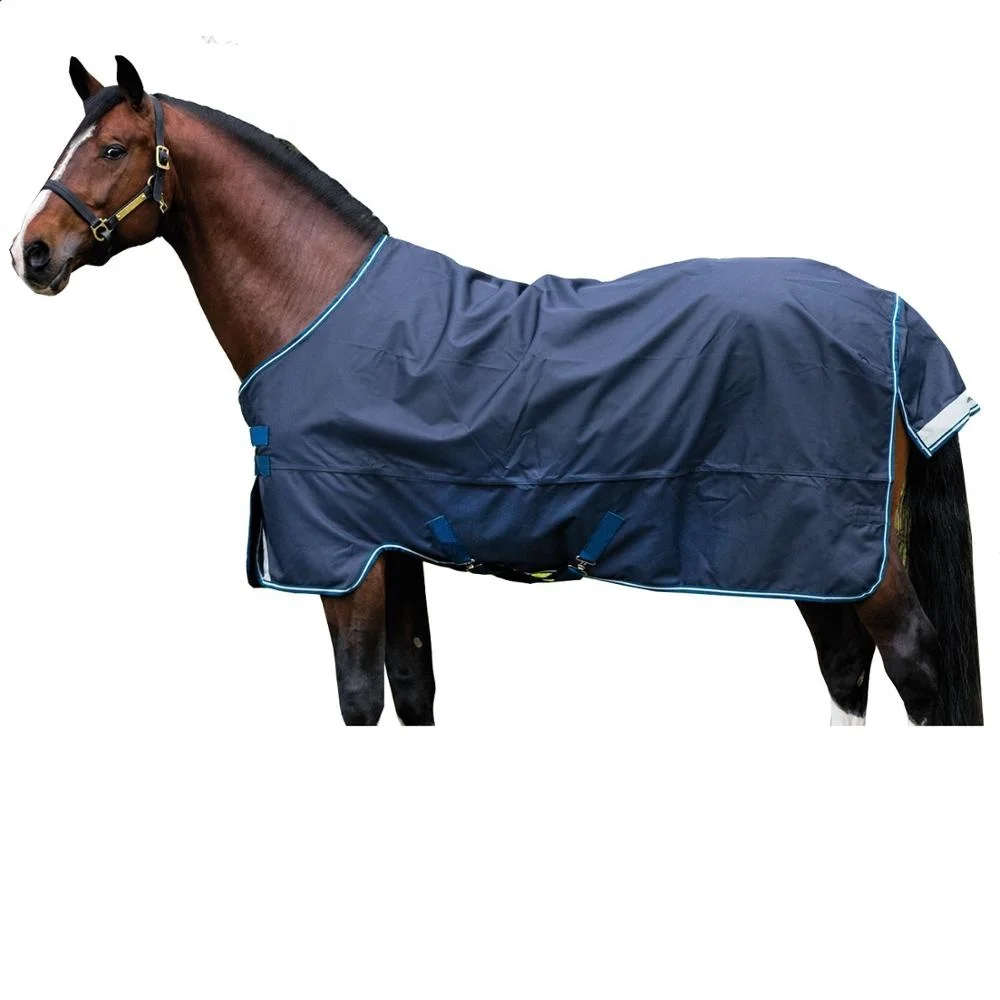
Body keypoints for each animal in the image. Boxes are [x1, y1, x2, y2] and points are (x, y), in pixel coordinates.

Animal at [10, 56, 982, 726]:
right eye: (69, 146)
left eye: (112, 148)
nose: (32, 253)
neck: (321, 304)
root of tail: (896, 314)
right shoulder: (391, 547)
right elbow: (413, 687)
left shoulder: (343, 556)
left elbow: (360, 696)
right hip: (812, 554)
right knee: (846, 671)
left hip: (842, 549)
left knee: (910, 665)